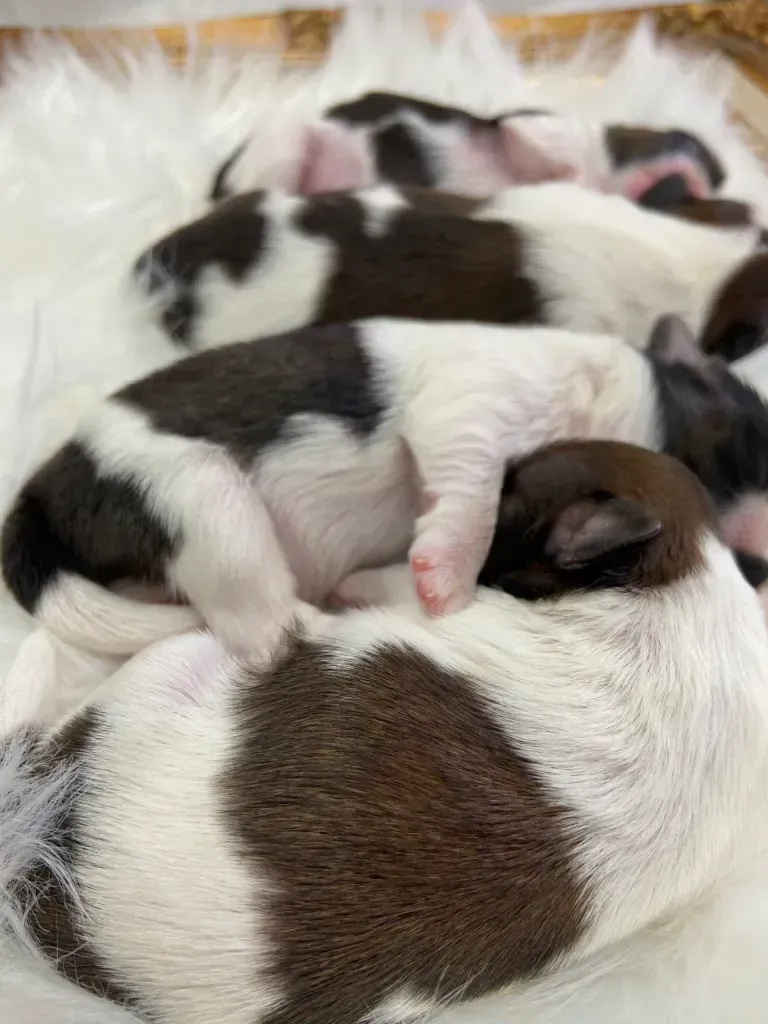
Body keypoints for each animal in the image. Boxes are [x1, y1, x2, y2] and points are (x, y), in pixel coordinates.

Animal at [1, 438, 768, 1024]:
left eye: (507, 492)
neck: (685, 573)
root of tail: (40, 860)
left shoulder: (442, 605)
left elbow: (395, 586)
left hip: (167, 672)